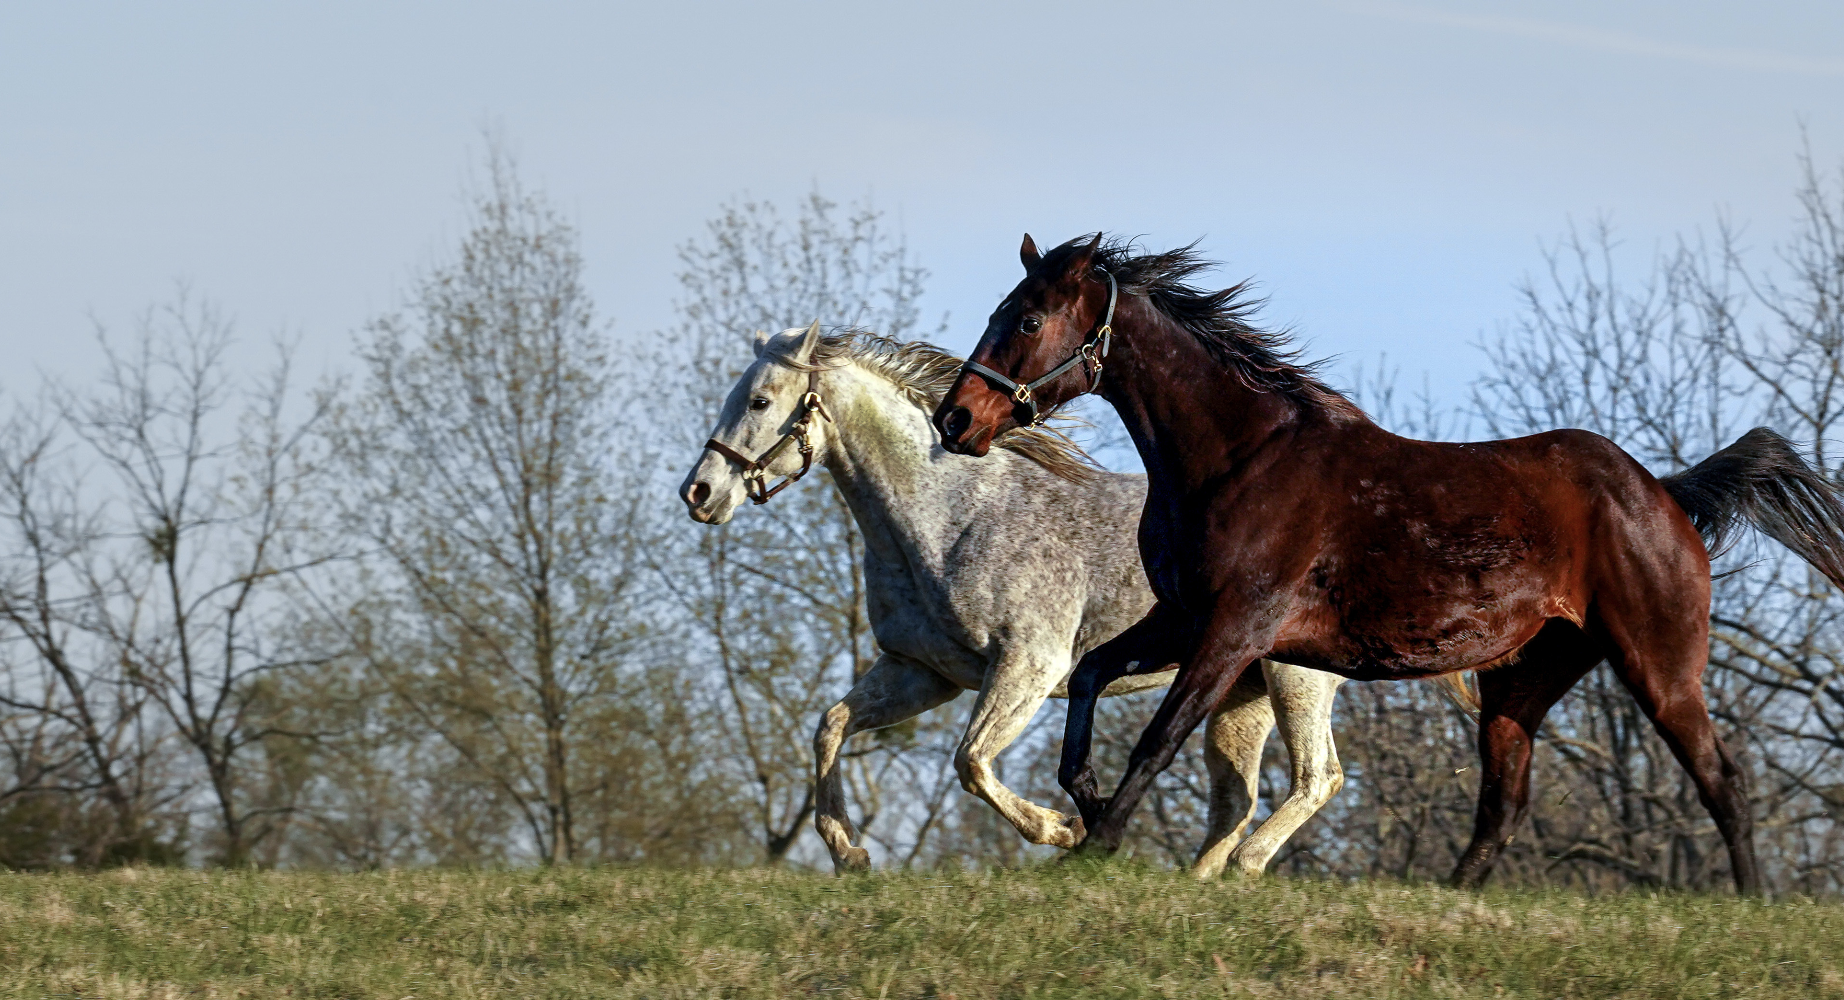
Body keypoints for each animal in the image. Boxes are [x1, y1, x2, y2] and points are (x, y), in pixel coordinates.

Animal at [685, 324, 1349, 874]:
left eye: (760, 401)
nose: (699, 492)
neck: (951, 520)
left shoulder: (1027, 667)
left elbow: (971, 761)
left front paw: (1063, 830)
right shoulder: (924, 673)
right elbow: (831, 727)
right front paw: (847, 852)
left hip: (1295, 677)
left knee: (1317, 779)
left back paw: (1241, 865)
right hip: (1240, 689)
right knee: (1236, 796)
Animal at [929, 235, 1844, 892]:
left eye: (1027, 320)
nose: (954, 419)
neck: (1239, 458)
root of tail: (1664, 494)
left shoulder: (1234, 629)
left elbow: (1159, 736)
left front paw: (1098, 844)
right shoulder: (1182, 617)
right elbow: (1088, 678)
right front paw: (1077, 811)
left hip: (1657, 664)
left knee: (1721, 778)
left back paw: (1750, 902)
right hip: (1523, 682)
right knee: (1503, 804)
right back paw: (1452, 897)